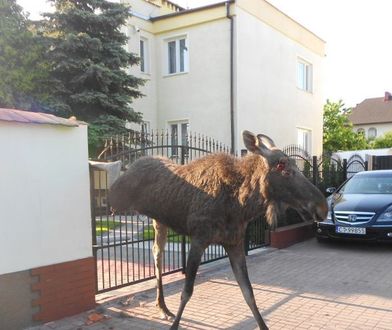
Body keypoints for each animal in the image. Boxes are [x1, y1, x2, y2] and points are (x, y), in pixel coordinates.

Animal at [108, 131, 326, 330]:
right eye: (281, 166)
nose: (322, 207)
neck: (240, 204)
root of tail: (130, 167)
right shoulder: (199, 240)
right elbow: (187, 292)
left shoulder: (234, 244)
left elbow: (249, 293)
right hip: (116, 206)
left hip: (159, 221)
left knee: (156, 253)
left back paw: (162, 306)